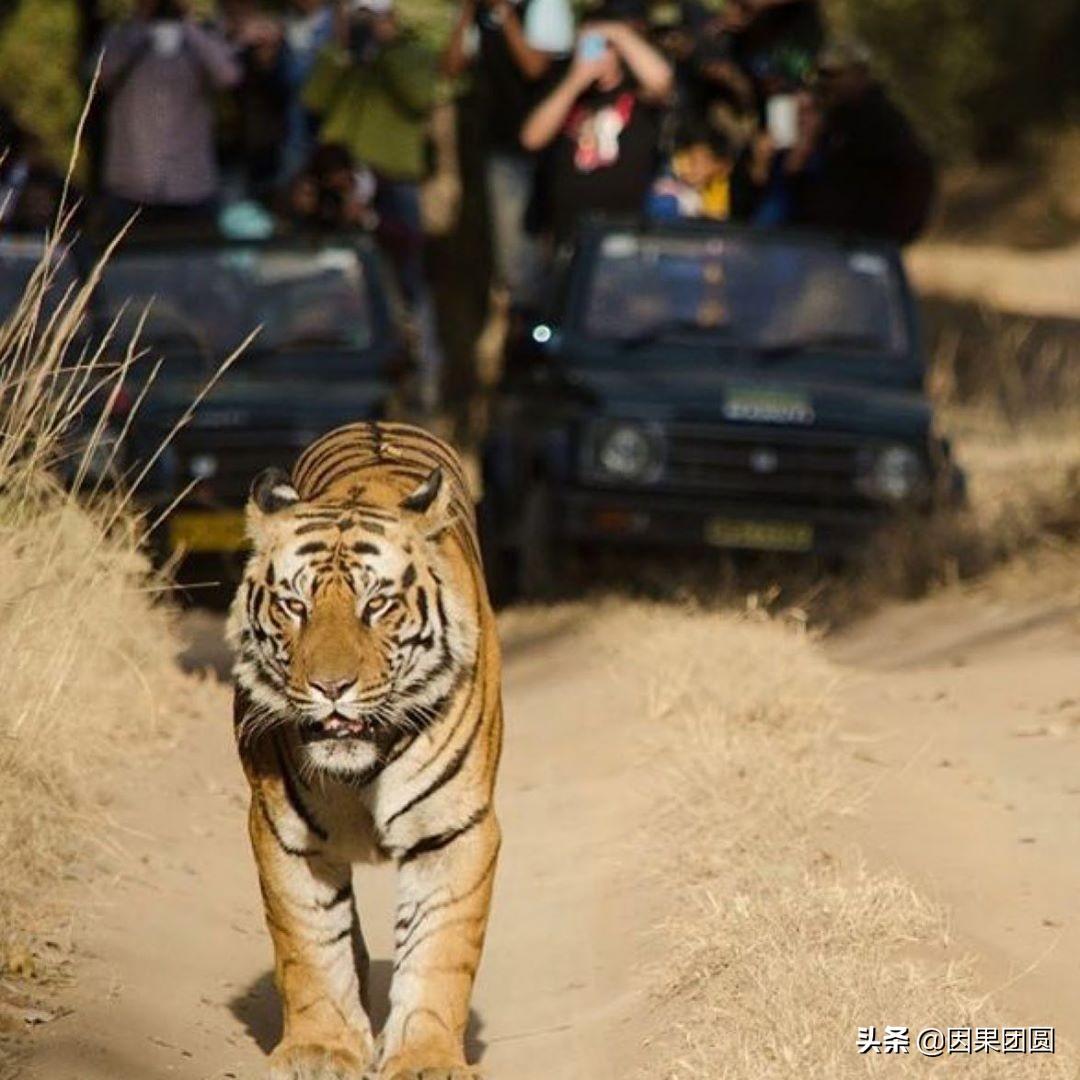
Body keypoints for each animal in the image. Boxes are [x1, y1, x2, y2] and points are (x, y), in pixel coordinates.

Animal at [225, 421, 503, 1080]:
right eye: (294, 606)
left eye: (376, 605)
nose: (331, 688)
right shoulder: (282, 831)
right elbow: (308, 942)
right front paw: (320, 1048)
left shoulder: (457, 829)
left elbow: (440, 949)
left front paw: (426, 1058)